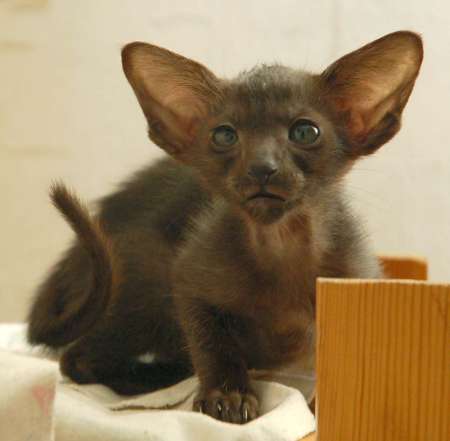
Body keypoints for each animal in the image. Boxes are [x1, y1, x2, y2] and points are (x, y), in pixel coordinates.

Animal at [27, 31, 422, 422]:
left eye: (305, 132)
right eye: (224, 136)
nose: (262, 167)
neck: (281, 245)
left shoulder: (356, 282)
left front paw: (322, 407)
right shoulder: (187, 279)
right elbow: (213, 343)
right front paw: (227, 395)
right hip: (144, 281)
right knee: (76, 360)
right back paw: (165, 374)